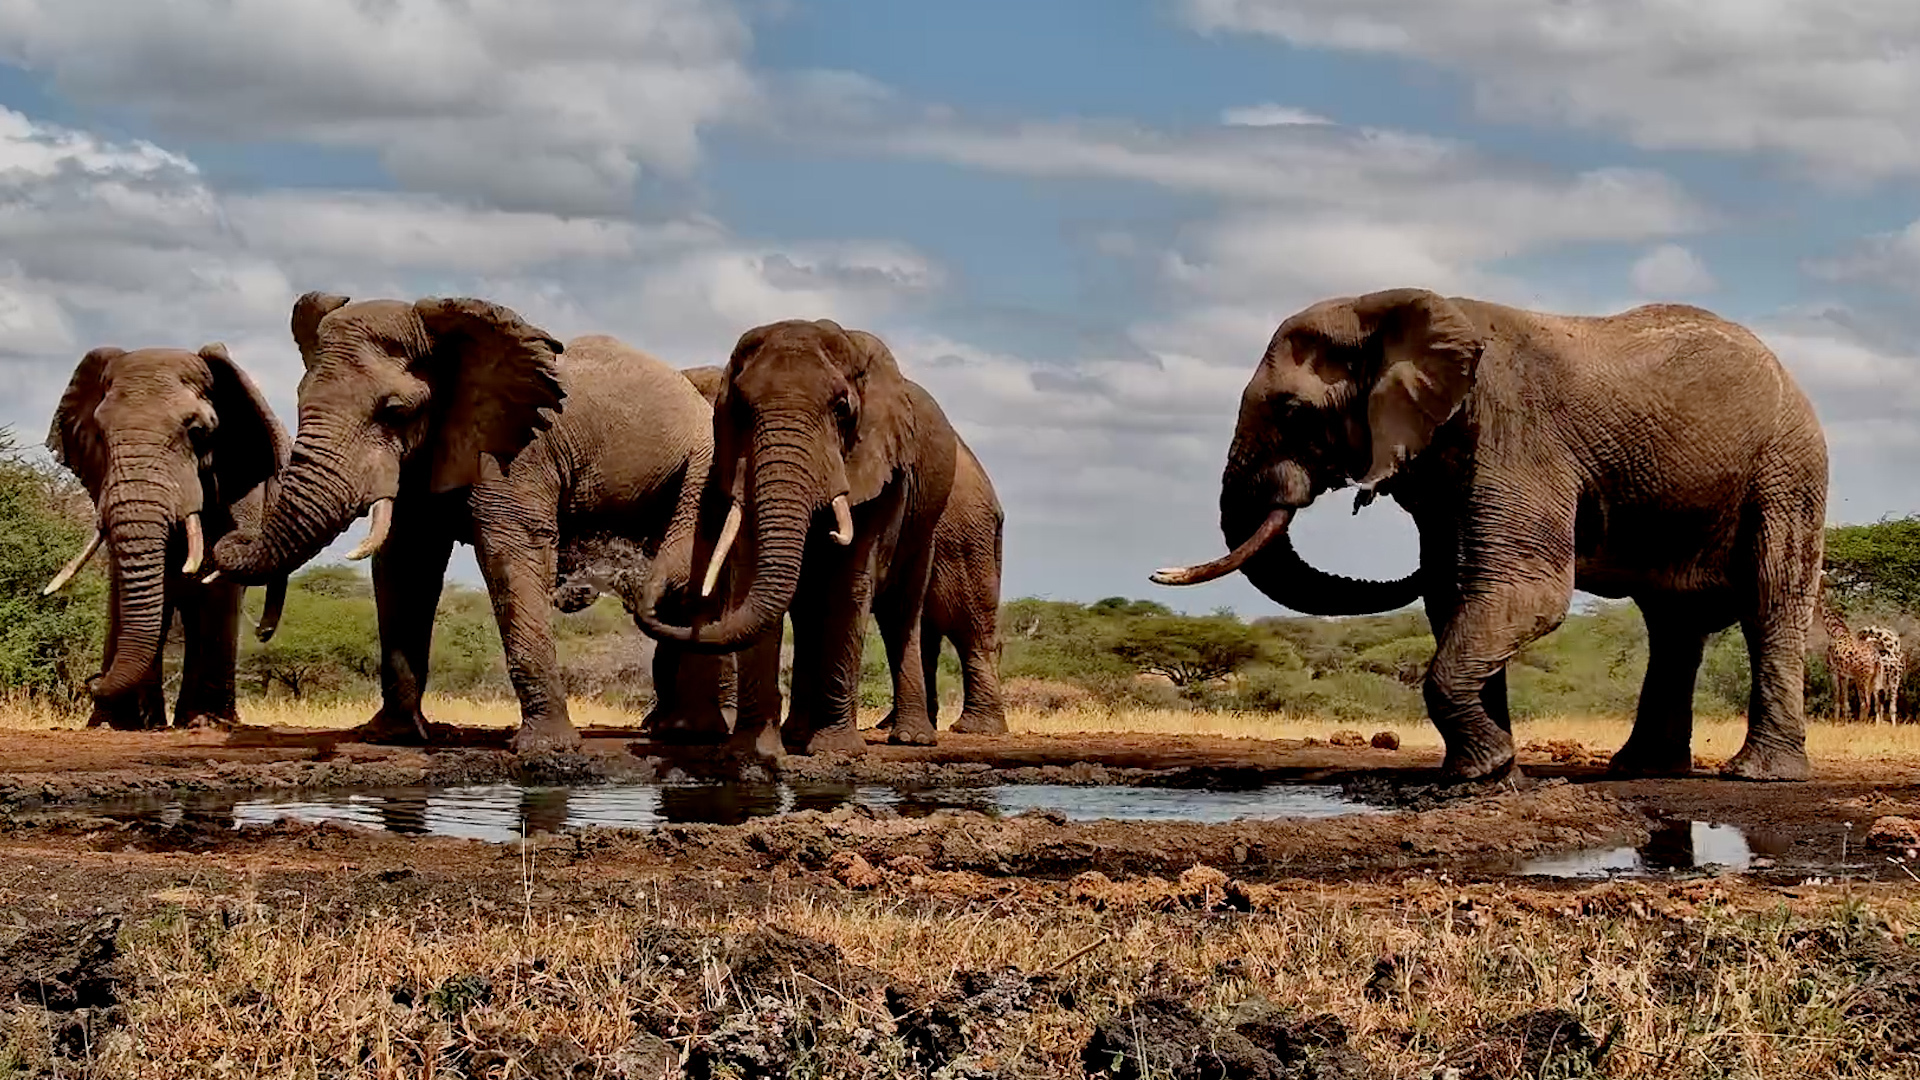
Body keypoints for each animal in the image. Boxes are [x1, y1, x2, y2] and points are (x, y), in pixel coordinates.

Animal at [45, 343, 290, 730]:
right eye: (100, 433)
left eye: (199, 432)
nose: (92, 682)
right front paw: (121, 723)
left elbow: (215, 586)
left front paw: (203, 722)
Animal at [210, 293, 728, 752]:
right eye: (299, 400)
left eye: (395, 411)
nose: (262, 631)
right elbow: (407, 564)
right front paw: (393, 737)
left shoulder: (517, 451)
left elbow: (509, 552)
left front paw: (546, 750)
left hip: (700, 467)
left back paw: (685, 731)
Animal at [636, 321, 959, 756]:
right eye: (741, 410)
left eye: (842, 409)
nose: (655, 605)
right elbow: (753, 578)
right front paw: (752, 752)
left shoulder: (879, 470)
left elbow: (849, 584)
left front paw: (836, 752)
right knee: (807, 613)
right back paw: (797, 735)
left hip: (925, 523)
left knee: (900, 615)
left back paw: (910, 739)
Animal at [1152, 289, 1828, 782]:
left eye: (1293, 411)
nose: (1157, 571)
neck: (1394, 311)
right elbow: (1455, 591)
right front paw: (1483, 774)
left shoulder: (1516, 435)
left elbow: (1523, 592)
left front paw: (1484, 769)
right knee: (1673, 626)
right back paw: (1642, 770)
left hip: (1788, 470)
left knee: (1771, 602)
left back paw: (1757, 775)